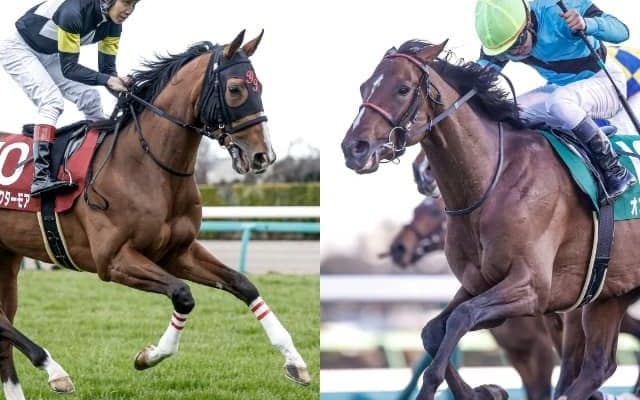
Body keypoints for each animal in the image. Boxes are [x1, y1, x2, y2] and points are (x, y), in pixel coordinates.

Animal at [0, 30, 310, 398]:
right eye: (235, 89)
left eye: (259, 86)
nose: (264, 156)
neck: (146, 166)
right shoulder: (113, 261)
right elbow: (183, 295)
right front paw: (149, 356)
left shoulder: (178, 252)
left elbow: (243, 284)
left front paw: (295, 360)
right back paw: (54, 369)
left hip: (7, 258)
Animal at [341, 39, 640, 400]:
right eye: (364, 87)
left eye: (402, 89)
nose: (354, 148)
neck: (493, 182)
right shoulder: (479, 285)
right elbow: (432, 330)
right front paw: (483, 391)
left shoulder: (531, 289)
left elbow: (460, 319)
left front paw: (472, 389)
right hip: (609, 294)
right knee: (598, 366)